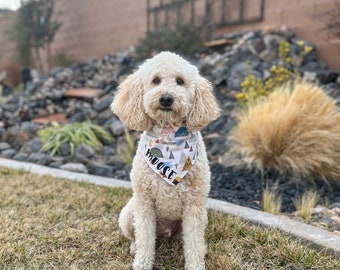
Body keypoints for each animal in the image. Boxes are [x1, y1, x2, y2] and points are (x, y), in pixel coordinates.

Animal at [110, 51, 219, 270]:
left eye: (180, 81)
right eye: (156, 80)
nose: (166, 98)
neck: (169, 136)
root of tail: (165, 233)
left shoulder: (194, 206)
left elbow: (194, 243)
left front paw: (196, 264)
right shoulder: (144, 203)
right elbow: (144, 238)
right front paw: (142, 264)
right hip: (128, 214)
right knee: (136, 236)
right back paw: (134, 248)